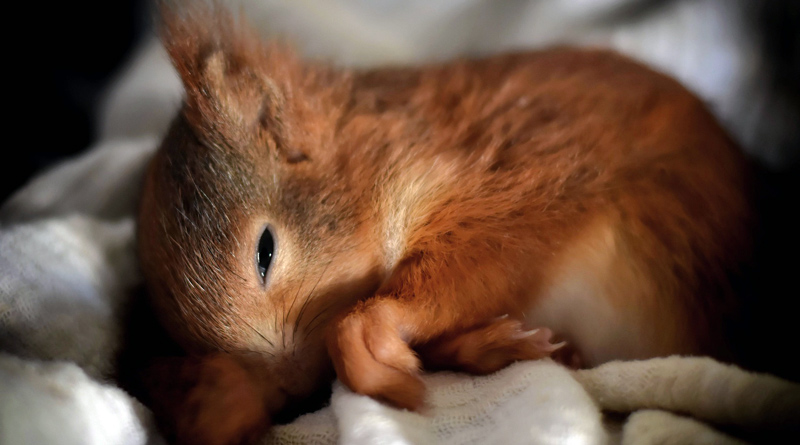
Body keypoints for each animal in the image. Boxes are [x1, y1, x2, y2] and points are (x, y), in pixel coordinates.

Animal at [134, 5, 752, 442]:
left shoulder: (518, 187)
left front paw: (374, 349)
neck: (382, 154)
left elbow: (478, 265)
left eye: (264, 252)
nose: (291, 393)